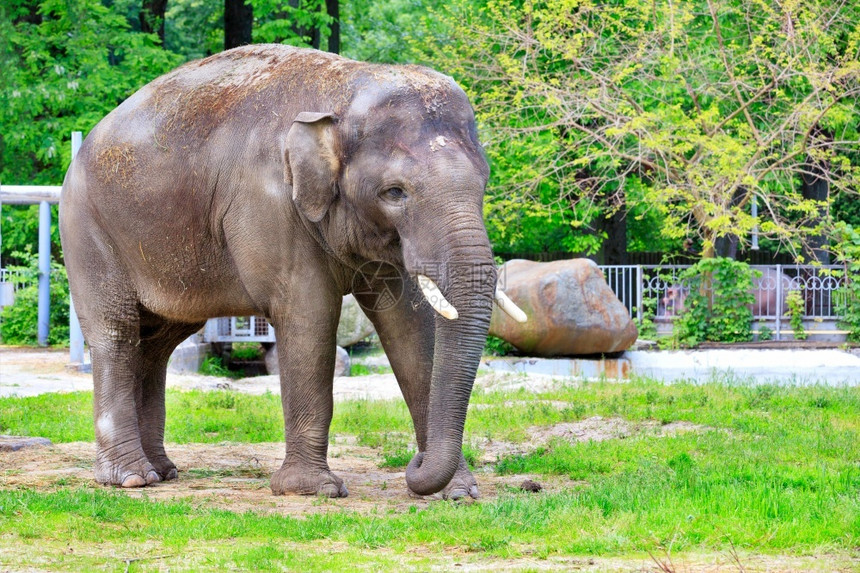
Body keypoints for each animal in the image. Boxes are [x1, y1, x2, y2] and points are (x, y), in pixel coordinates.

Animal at [58, 44, 524, 498]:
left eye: (483, 184)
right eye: (394, 192)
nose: (414, 464)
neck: (345, 88)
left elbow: (410, 328)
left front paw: (460, 492)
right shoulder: (269, 204)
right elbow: (309, 316)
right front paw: (314, 490)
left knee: (158, 343)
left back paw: (163, 471)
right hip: (87, 232)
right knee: (118, 333)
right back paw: (132, 479)